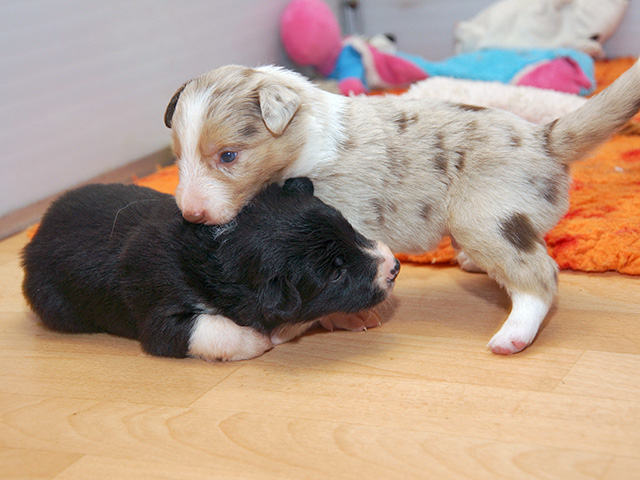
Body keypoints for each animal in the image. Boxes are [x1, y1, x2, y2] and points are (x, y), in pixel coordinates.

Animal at [21, 180, 400, 361]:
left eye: (349, 228)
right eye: (335, 274)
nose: (394, 267)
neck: (222, 247)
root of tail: (37, 232)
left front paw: (349, 316)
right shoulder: (161, 317)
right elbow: (211, 328)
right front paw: (259, 339)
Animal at [163, 59, 640, 354]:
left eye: (228, 156)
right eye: (177, 156)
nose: (190, 214)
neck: (303, 137)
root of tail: (546, 137)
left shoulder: (346, 216)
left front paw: (331, 322)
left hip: (485, 218)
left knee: (539, 276)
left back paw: (513, 335)